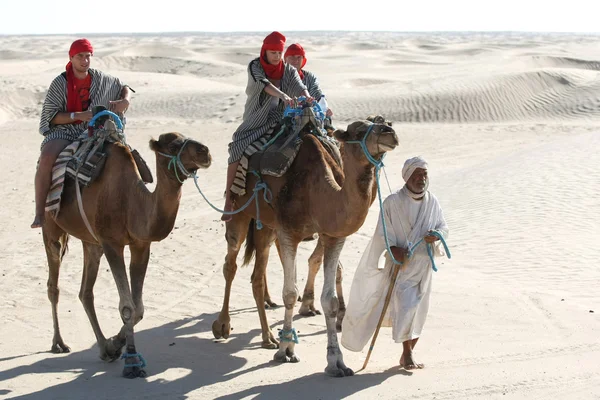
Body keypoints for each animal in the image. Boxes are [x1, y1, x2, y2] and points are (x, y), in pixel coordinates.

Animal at [40, 130, 211, 378]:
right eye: (173, 145)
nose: (204, 151)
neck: (132, 203)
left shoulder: (140, 245)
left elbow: (138, 308)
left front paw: (116, 345)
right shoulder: (112, 243)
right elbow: (127, 307)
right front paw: (132, 362)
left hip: (91, 241)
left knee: (85, 292)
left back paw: (104, 348)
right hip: (51, 225)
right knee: (54, 284)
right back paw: (58, 343)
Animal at [211, 117, 398, 376]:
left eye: (385, 122)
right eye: (359, 130)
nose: (390, 133)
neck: (318, 191)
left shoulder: (333, 235)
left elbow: (329, 299)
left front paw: (336, 361)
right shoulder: (289, 231)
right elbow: (290, 293)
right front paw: (287, 351)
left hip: (266, 226)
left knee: (257, 275)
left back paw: (268, 336)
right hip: (238, 211)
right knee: (230, 263)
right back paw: (223, 325)